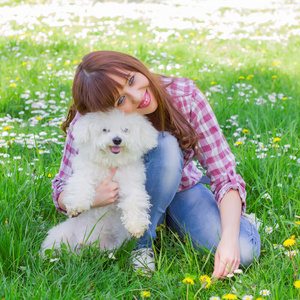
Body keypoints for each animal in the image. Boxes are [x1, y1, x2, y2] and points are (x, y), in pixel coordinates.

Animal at [42, 109, 159, 252]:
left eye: (125, 129)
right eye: (105, 129)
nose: (117, 140)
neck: (110, 162)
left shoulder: (132, 185)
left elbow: (134, 203)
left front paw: (136, 225)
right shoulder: (84, 173)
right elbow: (80, 186)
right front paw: (77, 205)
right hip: (57, 238)